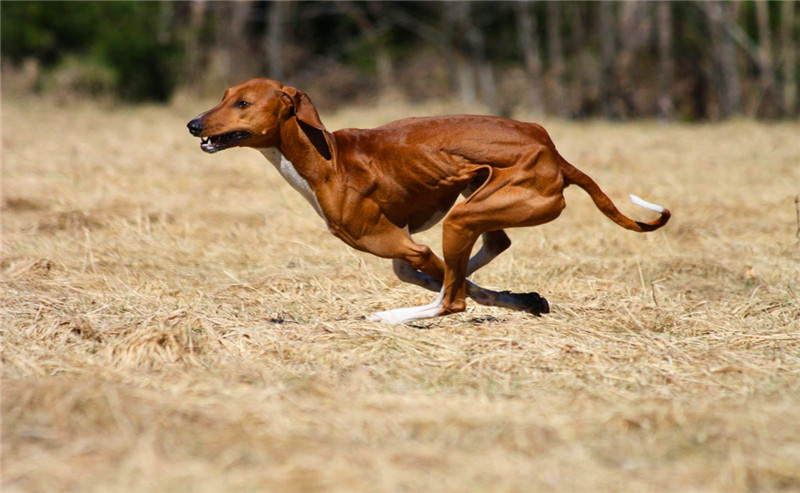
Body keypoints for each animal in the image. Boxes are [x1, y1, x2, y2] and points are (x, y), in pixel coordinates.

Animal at [188, 78, 668, 322]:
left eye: (244, 103)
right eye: (224, 97)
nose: (194, 124)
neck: (328, 157)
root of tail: (555, 154)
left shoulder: (404, 244)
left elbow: (442, 280)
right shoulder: (406, 244)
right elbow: (437, 275)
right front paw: (520, 299)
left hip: (460, 219)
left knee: (451, 299)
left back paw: (392, 315)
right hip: (474, 201)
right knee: (491, 248)